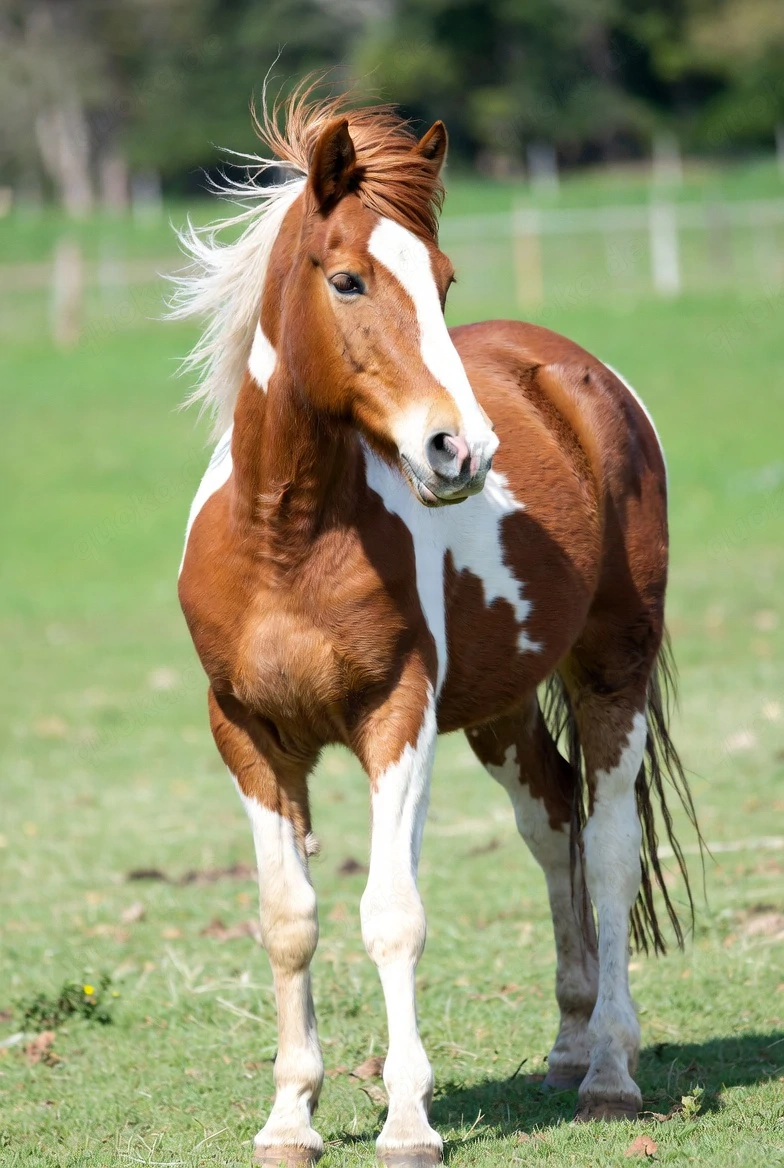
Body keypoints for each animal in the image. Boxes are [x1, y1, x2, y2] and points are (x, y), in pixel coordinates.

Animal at [172, 85, 698, 1167]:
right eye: (346, 279)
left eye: (443, 277)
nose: (460, 450)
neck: (284, 542)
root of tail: (576, 372)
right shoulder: (247, 735)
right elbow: (289, 919)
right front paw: (290, 1117)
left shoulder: (396, 718)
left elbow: (392, 914)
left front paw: (408, 1120)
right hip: (500, 706)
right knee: (554, 820)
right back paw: (567, 1047)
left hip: (611, 670)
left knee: (610, 842)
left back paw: (611, 1072)